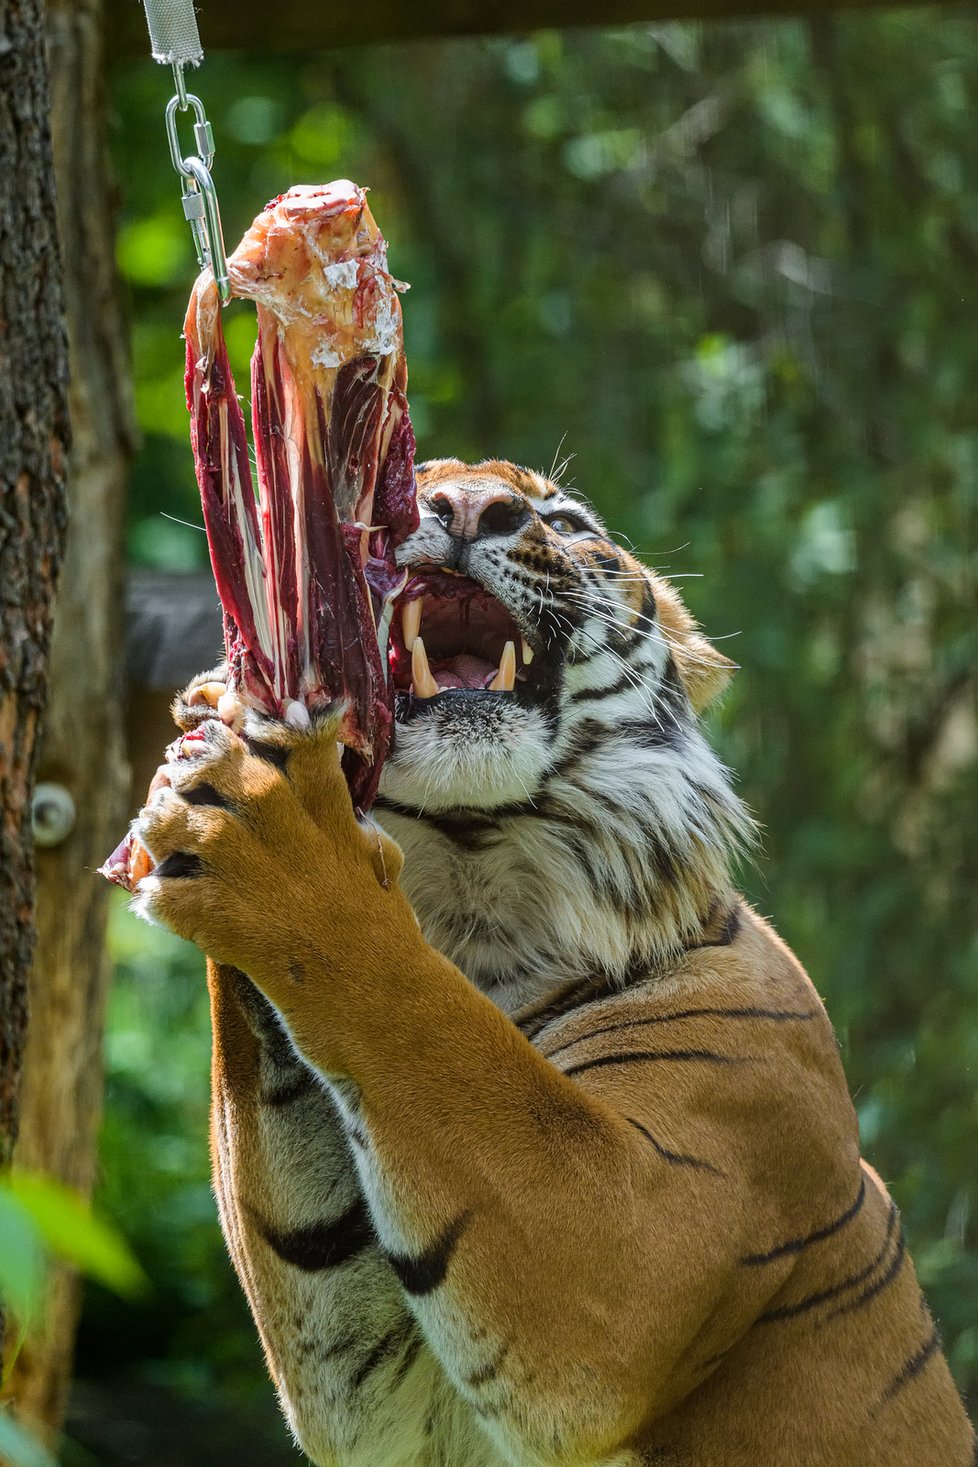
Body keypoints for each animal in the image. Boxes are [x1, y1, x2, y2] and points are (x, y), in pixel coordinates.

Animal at [131, 460, 978, 1467]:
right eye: (406, 488)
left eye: (565, 520)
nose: (465, 508)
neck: (473, 891)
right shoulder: (383, 1399)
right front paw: (218, 721)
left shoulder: (628, 1242)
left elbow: (416, 1013)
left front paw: (272, 824)